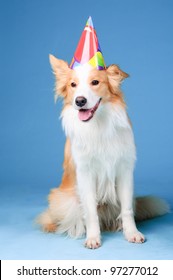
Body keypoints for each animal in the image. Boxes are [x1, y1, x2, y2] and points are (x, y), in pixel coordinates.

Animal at [36, 55, 169, 249]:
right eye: (73, 84)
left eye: (95, 82)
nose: (80, 101)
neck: (98, 126)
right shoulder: (85, 173)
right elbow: (90, 211)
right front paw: (93, 237)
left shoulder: (124, 171)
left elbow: (127, 209)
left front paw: (132, 233)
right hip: (63, 199)